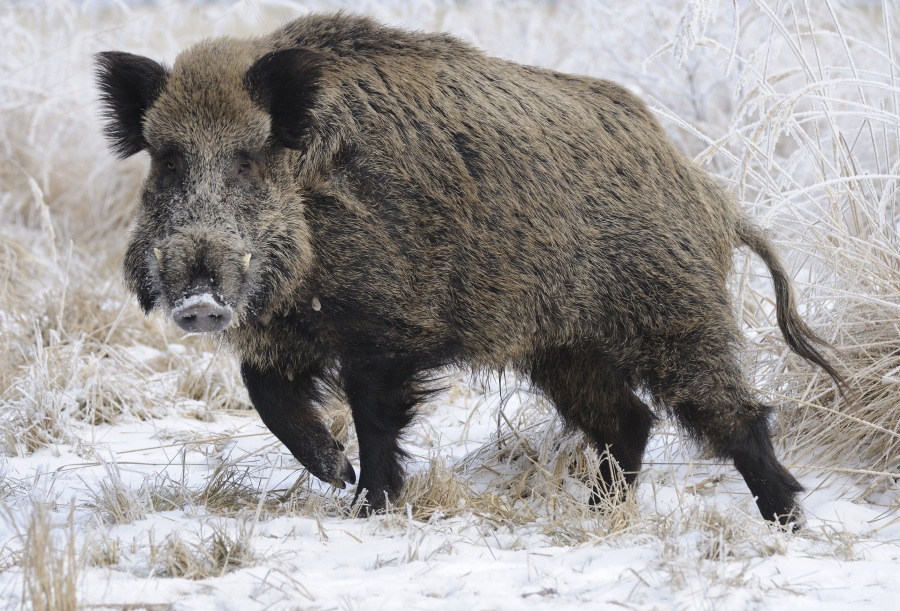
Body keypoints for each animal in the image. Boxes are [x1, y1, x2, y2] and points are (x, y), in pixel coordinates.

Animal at [95, 12, 845, 526]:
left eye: (248, 157)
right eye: (166, 157)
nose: (197, 298)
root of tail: (711, 196)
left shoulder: (390, 326)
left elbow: (374, 417)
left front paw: (366, 502)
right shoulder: (289, 331)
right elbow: (267, 395)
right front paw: (335, 473)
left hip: (671, 315)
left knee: (736, 414)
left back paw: (786, 520)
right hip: (566, 348)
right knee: (628, 420)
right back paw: (597, 514)